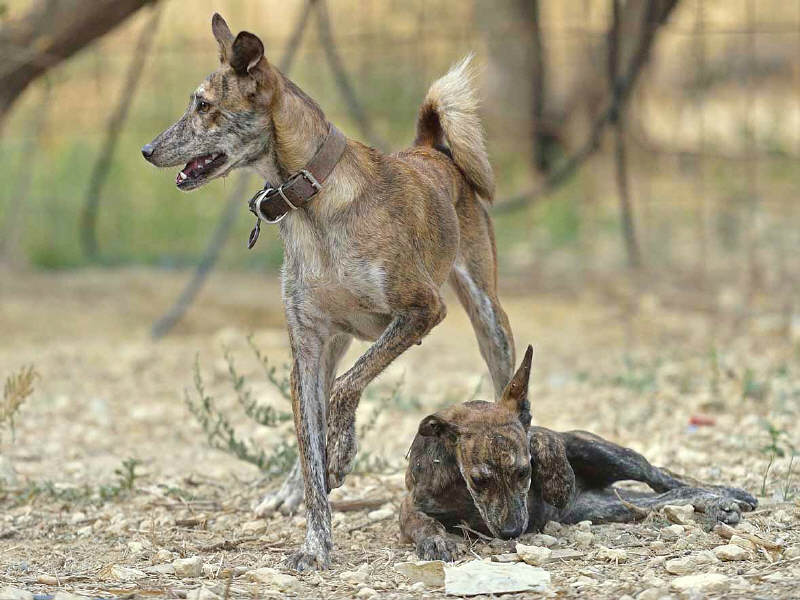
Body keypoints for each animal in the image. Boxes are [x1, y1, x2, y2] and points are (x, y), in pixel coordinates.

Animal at [142, 14, 515, 570]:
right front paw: (315, 541)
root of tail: (430, 149)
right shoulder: (307, 347)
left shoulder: (422, 311)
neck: (313, 204)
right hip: (335, 343)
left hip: (487, 316)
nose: (146, 151)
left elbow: (345, 392)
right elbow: (310, 446)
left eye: (203, 106)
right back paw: (289, 490)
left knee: (504, 383)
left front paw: (340, 452)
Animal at [400, 346, 758, 561]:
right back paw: (716, 503)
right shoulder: (412, 504)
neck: (458, 483)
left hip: (611, 455)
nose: (513, 532)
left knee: (663, 476)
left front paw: (557, 479)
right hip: (609, 507)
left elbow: (544, 441)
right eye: (479, 481)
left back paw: (726, 494)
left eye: (524, 473)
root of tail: (592, 490)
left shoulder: (538, 433)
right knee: (666, 498)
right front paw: (436, 540)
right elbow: (421, 521)